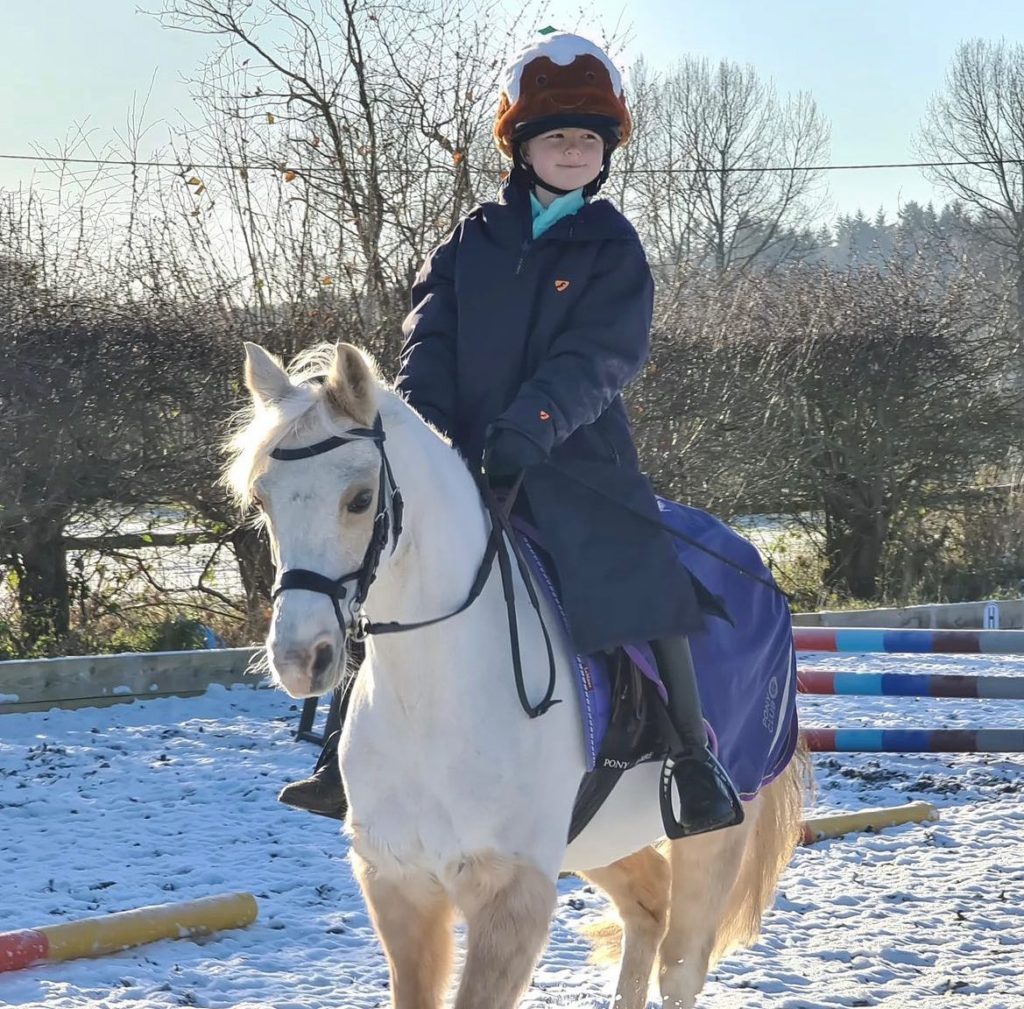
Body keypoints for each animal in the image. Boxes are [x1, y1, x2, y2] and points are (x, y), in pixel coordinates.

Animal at [226, 340, 807, 1009]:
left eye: (359, 499)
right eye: (263, 499)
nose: (301, 659)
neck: (433, 700)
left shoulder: (510, 891)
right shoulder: (398, 882)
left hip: (713, 834)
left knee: (683, 963)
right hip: (596, 839)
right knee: (648, 905)